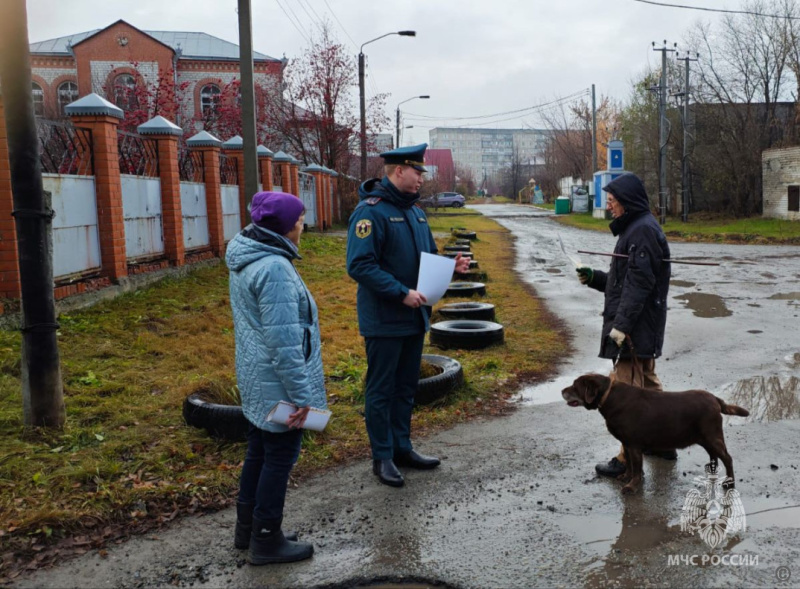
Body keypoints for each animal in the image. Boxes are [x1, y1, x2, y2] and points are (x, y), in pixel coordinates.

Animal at [564, 374, 752, 494]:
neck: (609, 397)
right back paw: (712, 472)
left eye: (575, 385)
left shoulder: (633, 444)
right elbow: (630, 464)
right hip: (705, 438)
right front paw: (625, 477)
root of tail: (715, 399)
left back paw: (729, 482)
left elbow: (636, 467)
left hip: (712, 435)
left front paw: (632, 486)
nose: (561, 391)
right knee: (714, 455)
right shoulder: (626, 442)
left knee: (727, 458)